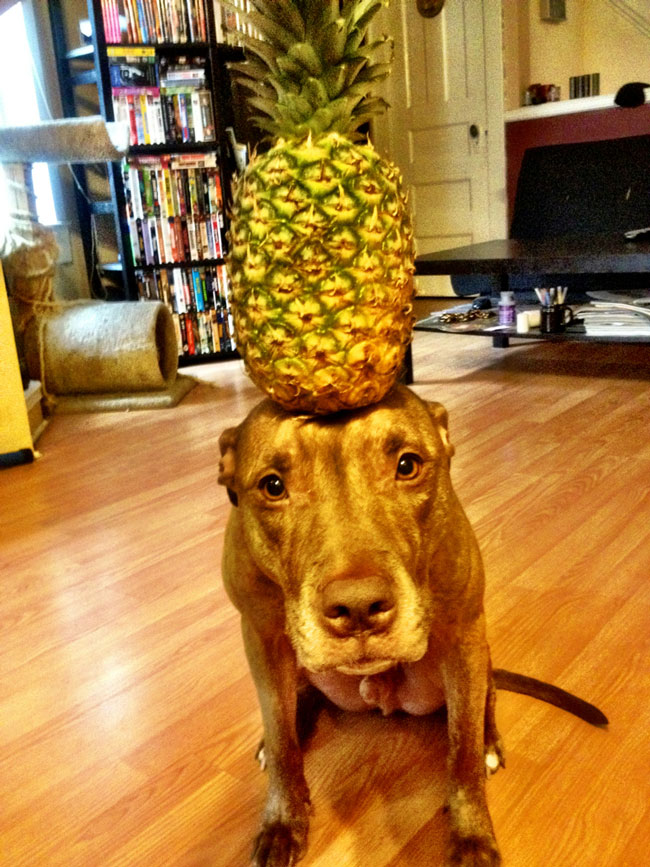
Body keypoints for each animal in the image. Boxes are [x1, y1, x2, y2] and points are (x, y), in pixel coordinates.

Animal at [218, 386, 604, 867]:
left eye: (407, 465)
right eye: (273, 486)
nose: (359, 607)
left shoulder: (464, 636)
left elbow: (462, 753)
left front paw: (472, 837)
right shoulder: (262, 639)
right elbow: (282, 739)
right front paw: (282, 821)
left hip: (476, 657)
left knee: (485, 699)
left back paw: (489, 741)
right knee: (293, 707)